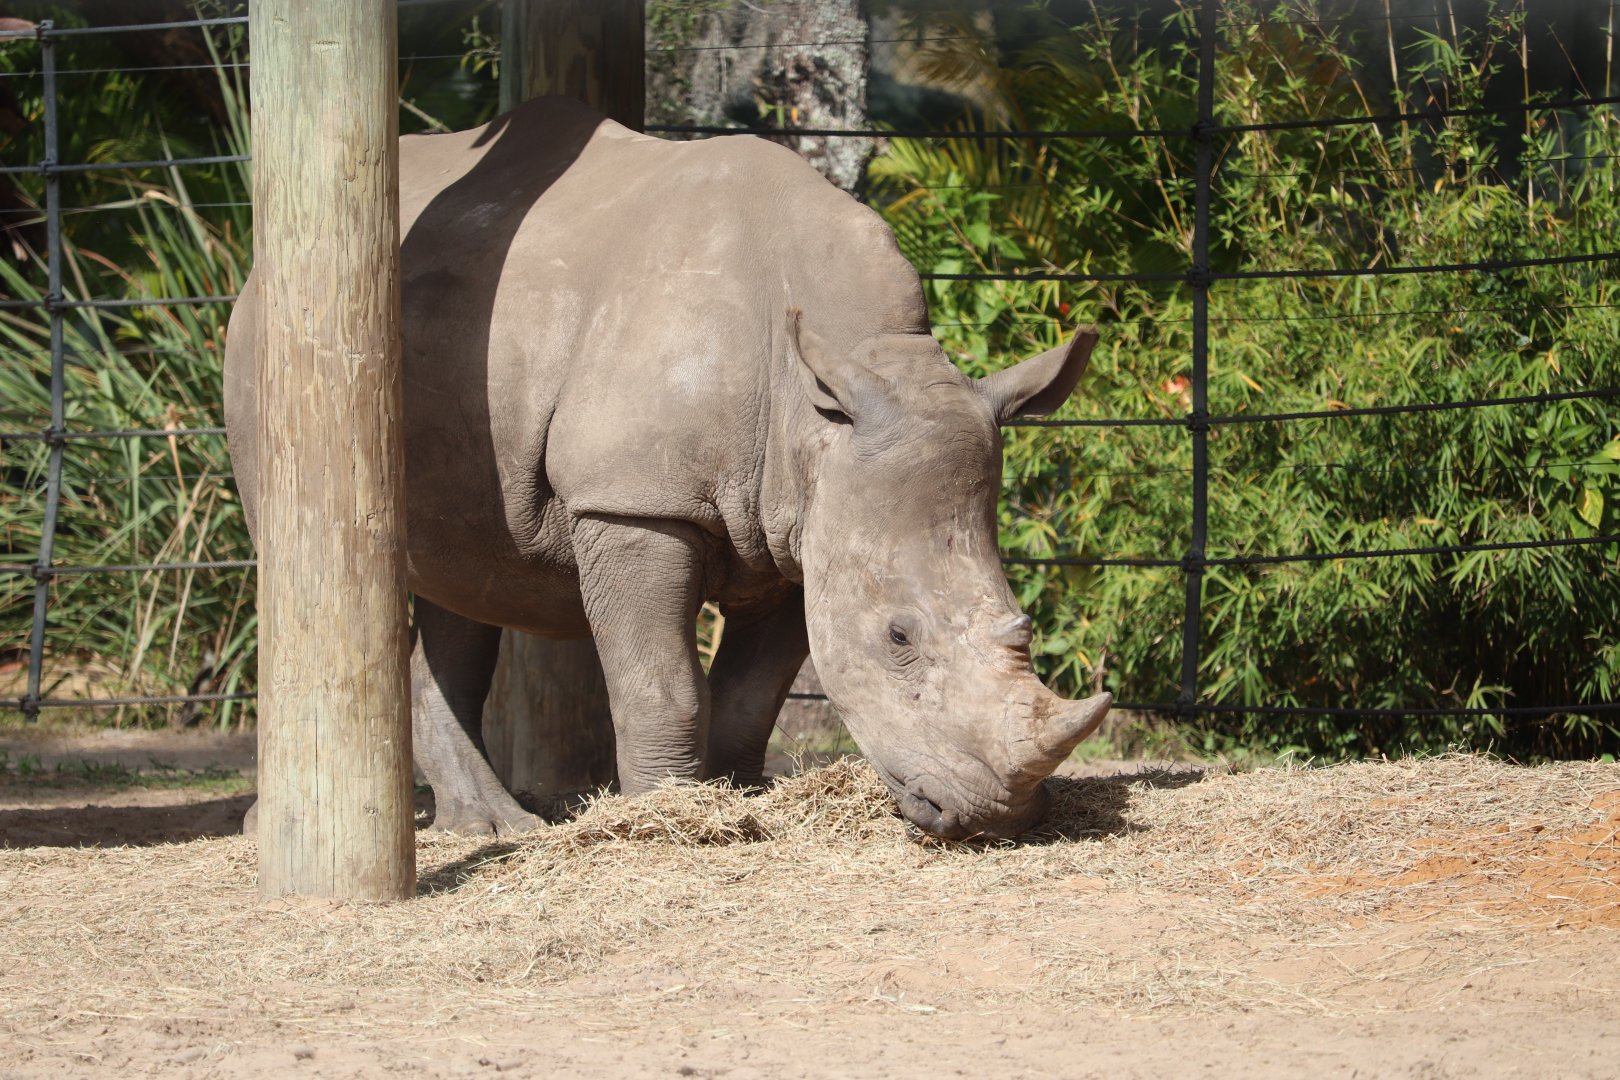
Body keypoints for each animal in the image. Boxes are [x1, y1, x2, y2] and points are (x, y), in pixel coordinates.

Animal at [224, 96, 1110, 841]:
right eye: (899, 636)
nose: (994, 817)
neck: (821, 396)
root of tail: (257, 272)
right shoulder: (633, 501)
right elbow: (663, 680)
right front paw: (667, 812)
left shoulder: (803, 522)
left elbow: (752, 689)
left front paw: (739, 794)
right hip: (279, 340)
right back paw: (290, 827)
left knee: (463, 579)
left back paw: (490, 828)